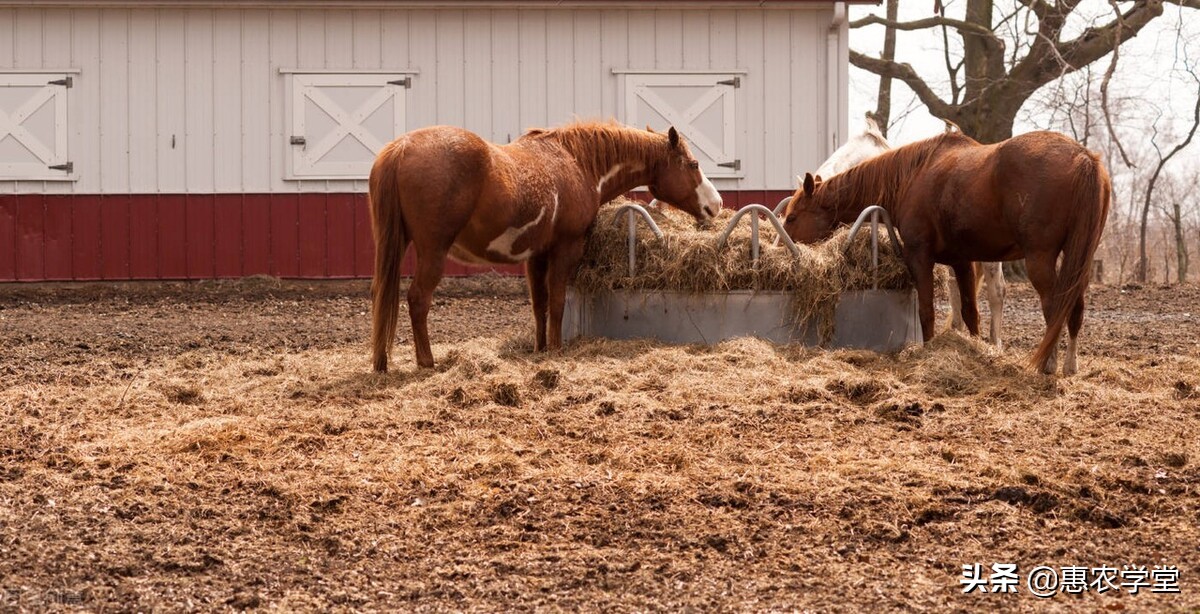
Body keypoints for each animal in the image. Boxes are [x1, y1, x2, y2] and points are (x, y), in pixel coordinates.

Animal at [364, 119, 720, 369]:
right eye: (693, 165)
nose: (715, 205)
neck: (578, 163)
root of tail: (402, 148)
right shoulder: (565, 249)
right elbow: (558, 302)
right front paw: (557, 350)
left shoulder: (535, 257)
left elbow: (539, 305)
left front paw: (540, 348)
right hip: (432, 252)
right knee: (418, 300)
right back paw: (427, 362)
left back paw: (381, 362)